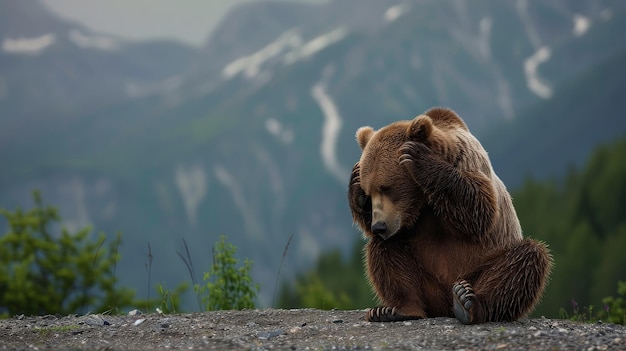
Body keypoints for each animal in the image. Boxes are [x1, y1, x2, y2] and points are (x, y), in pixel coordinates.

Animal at [346, 106, 552, 324]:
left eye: (387, 187)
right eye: (369, 193)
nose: (379, 226)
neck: (423, 201)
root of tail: (445, 306)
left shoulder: (468, 163)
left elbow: (480, 210)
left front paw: (418, 157)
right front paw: (355, 181)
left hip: (479, 266)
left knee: (526, 259)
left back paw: (468, 302)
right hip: (428, 285)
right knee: (386, 250)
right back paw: (395, 309)